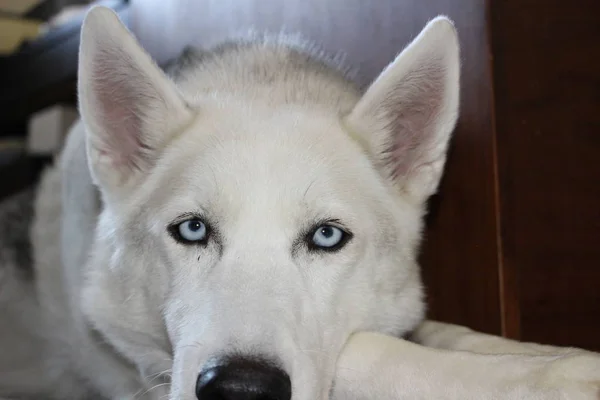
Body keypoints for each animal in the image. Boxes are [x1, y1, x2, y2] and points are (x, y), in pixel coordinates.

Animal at [1, 5, 600, 400]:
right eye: (192, 230)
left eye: (326, 236)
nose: (241, 390)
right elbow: (374, 352)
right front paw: (558, 376)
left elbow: (449, 332)